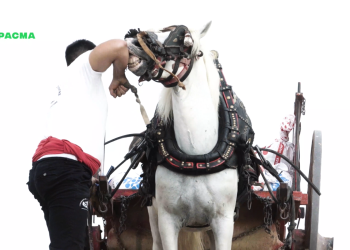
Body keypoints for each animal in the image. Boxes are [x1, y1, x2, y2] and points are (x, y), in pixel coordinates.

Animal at [125, 22, 238, 250]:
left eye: (186, 42)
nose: (134, 41)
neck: (196, 154)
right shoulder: (167, 220)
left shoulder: (224, 220)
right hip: (153, 213)